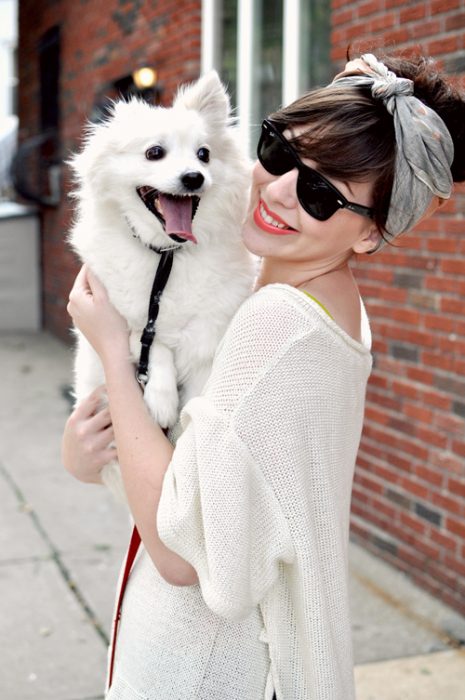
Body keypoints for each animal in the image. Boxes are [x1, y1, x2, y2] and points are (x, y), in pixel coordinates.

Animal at [69, 71, 254, 498]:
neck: (167, 257)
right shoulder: (123, 314)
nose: (194, 177)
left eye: (204, 154)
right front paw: (161, 397)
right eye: (155, 153)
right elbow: (151, 340)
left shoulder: (210, 331)